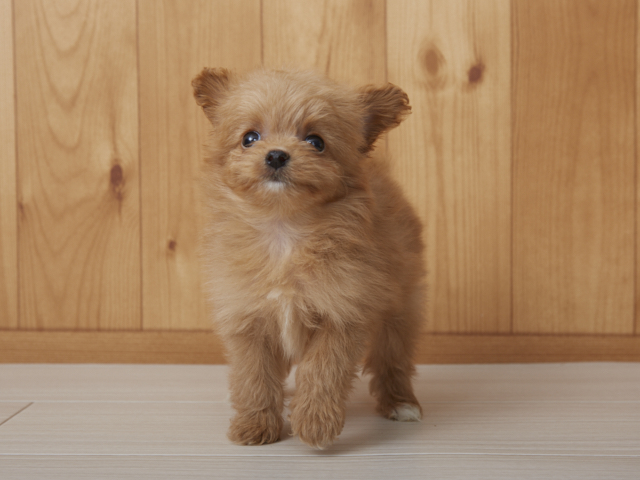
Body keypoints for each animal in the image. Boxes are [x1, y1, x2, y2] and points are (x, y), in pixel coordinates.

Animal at [192, 67, 428, 450]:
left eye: (316, 141)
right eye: (249, 138)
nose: (275, 155)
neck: (284, 230)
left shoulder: (341, 314)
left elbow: (322, 371)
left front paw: (315, 423)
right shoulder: (248, 320)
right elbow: (254, 376)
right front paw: (256, 424)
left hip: (401, 308)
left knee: (393, 359)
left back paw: (401, 403)